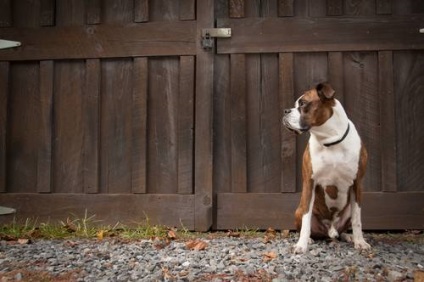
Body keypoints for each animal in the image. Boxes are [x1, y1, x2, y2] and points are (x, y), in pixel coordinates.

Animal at [284, 81, 370, 253]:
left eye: (303, 104)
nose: (285, 111)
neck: (329, 140)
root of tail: (329, 231)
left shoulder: (357, 184)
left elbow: (357, 219)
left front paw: (360, 242)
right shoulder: (309, 183)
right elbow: (306, 219)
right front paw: (301, 245)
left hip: (347, 211)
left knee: (343, 229)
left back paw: (348, 237)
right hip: (298, 210)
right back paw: (310, 239)